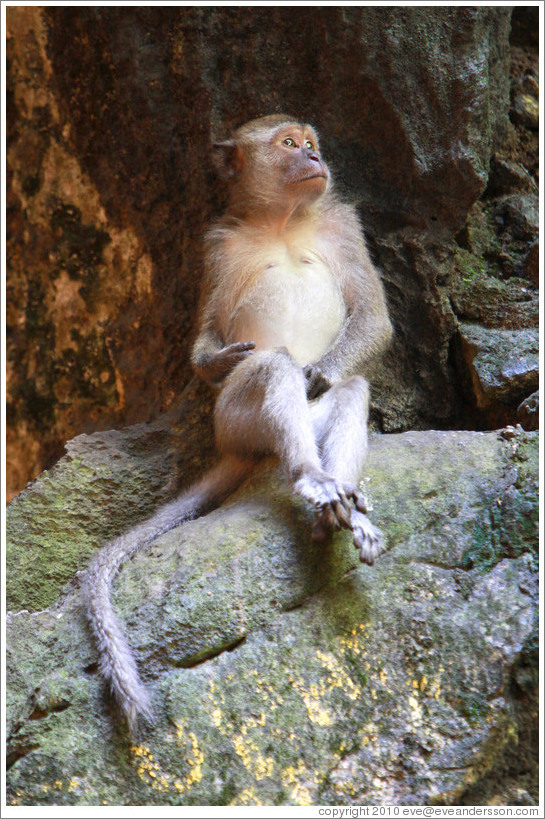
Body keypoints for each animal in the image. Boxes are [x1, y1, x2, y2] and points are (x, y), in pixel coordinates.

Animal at [83, 112, 394, 732]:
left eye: (311, 144)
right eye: (290, 145)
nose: (315, 159)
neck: (283, 222)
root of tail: (232, 448)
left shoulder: (345, 226)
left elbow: (374, 317)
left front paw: (321, 372)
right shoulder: (216, 245)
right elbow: (208, 334)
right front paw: (218, 362)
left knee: (349, 389)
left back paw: (342, 496)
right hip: (233, 421)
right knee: (274, 370)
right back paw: (310, 477)